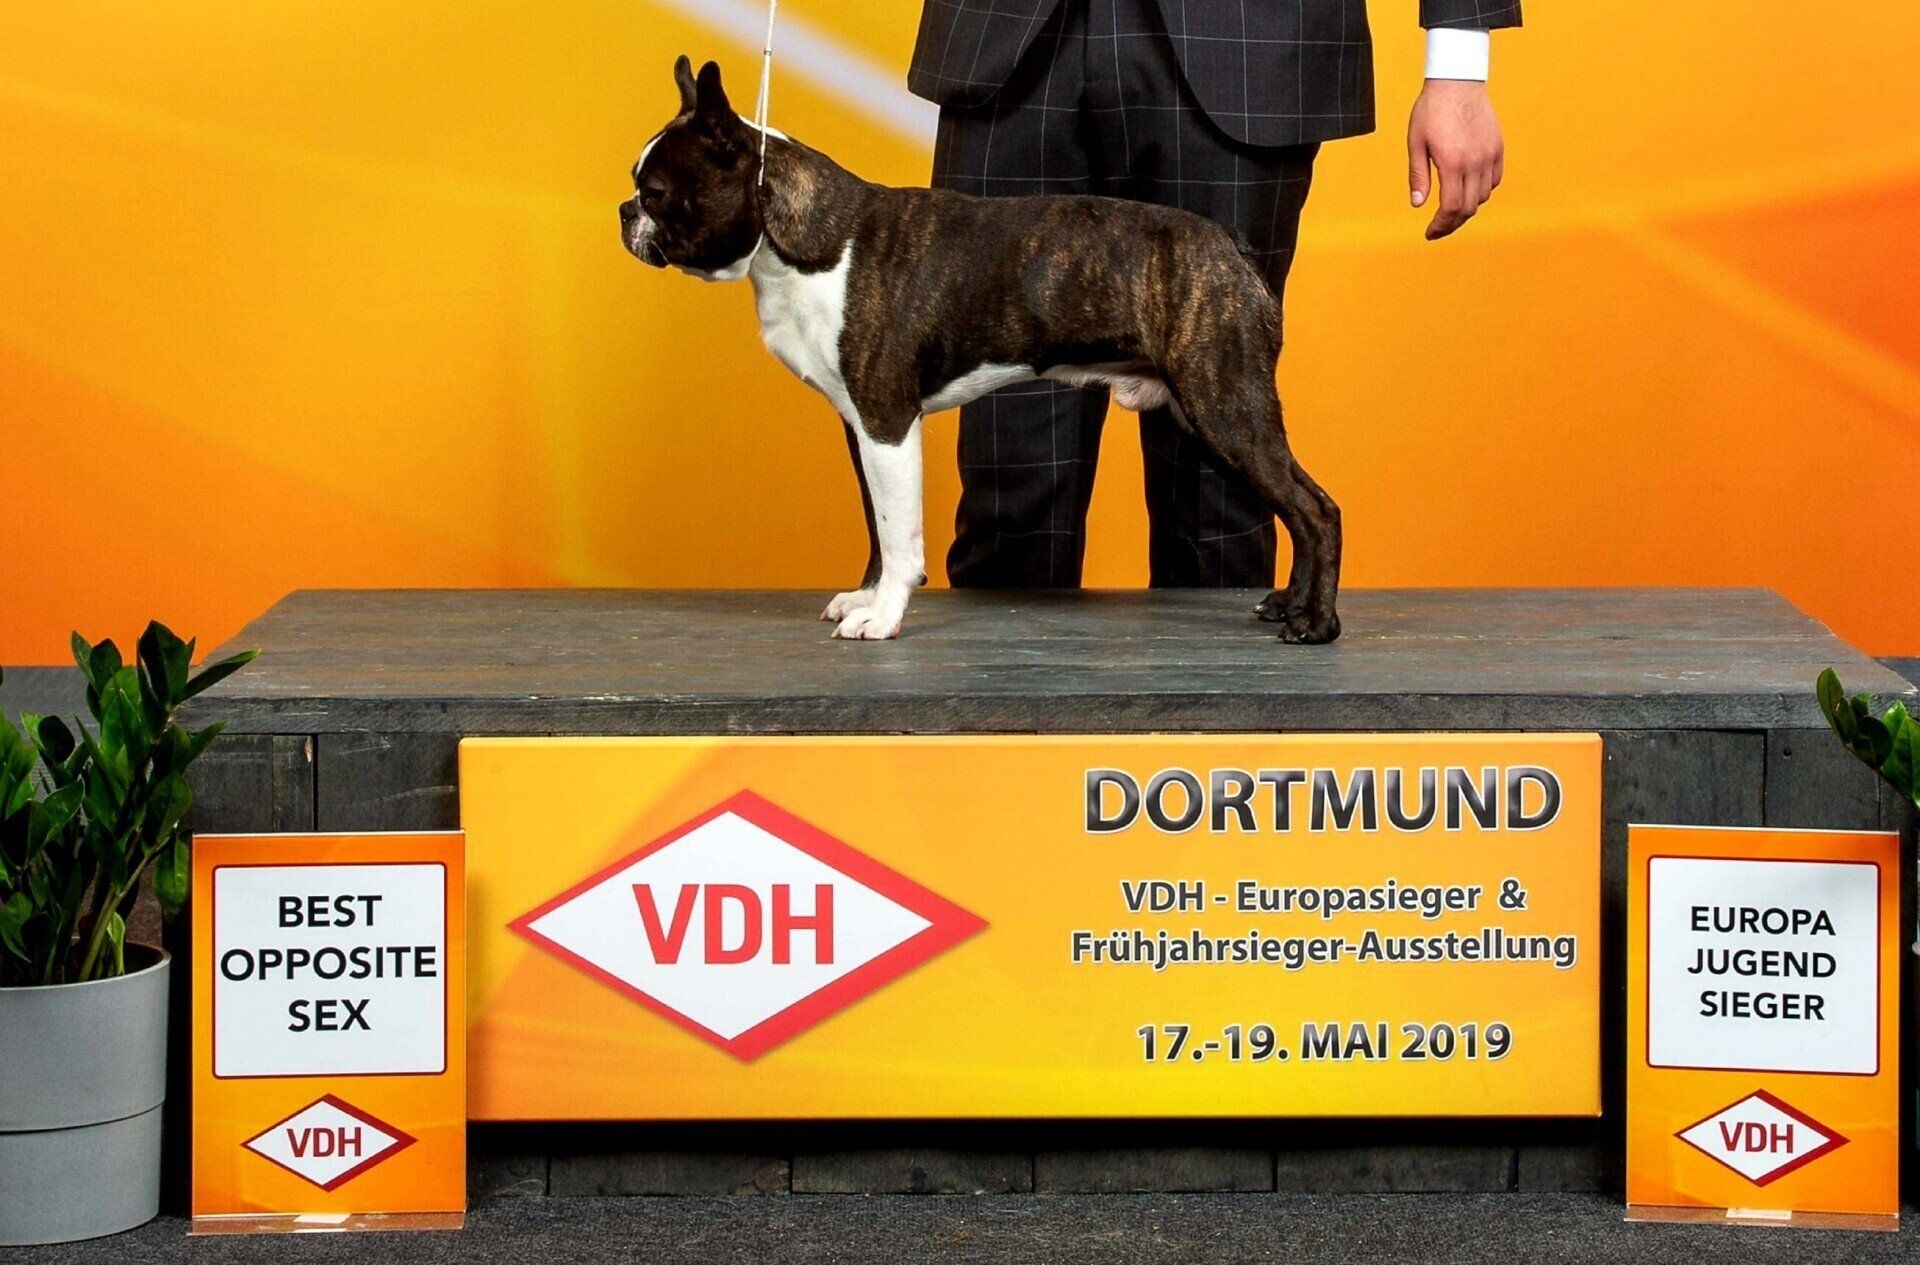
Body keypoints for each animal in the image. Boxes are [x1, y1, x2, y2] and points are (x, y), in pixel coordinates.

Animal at [620, 58, 1342, 644]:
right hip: (1210, 414)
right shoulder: (861, 426)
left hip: (1224, 406)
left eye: (657, 193)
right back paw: (1288, 604)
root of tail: (1230, 250)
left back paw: (1315, 624)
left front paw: (883, 617)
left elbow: (898, 532)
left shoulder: (887, 422)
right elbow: (876, 524)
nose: (625, 211)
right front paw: (866, 596)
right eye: (637, 186)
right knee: (1303, 504)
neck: (798, 241)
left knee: (1314, 510)